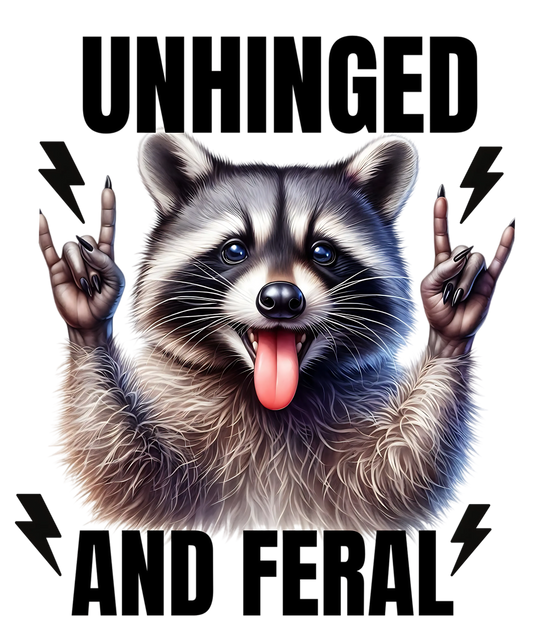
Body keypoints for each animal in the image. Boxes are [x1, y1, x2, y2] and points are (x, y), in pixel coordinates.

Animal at [37, 129, 514, 545]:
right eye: (234, 250)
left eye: (323, 252)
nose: (282, 299)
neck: (271, 402)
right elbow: (129, 475)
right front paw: (89, 316)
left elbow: (396, 477)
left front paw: (449, 326)